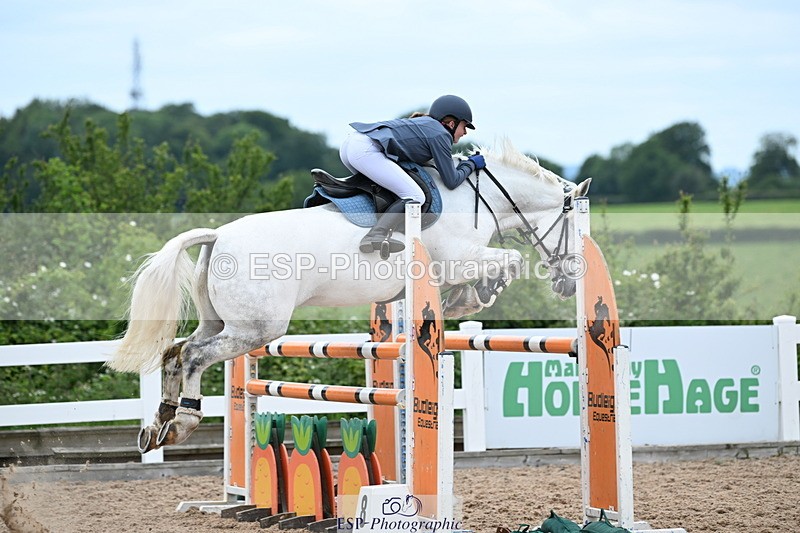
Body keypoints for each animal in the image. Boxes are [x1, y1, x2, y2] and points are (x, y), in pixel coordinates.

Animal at [106, 139, 591, 452]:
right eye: (571, 226)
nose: (569, 282)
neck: (478, 195)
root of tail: (218, 235)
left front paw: (467, 299)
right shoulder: (458, 259)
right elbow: (508, 261)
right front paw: (475, 297)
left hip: (222, 322)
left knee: (175, 350)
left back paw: (159, 424)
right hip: (256, 328)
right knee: (193, 356)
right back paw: (183, 422)